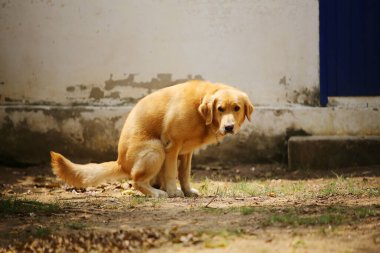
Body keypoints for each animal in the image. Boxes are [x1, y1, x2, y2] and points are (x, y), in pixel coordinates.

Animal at [50, 81, 252, 198]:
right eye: (220, 109)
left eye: (236, 108)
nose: (229, 127)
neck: (200, 112)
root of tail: (120, 162)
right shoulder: (172, 146)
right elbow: (172, 174)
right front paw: (173, 192)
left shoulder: (187, 153)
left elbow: (184, 175)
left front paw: (187, 191)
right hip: (156, 149)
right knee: (136, 181)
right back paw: (158, 192)